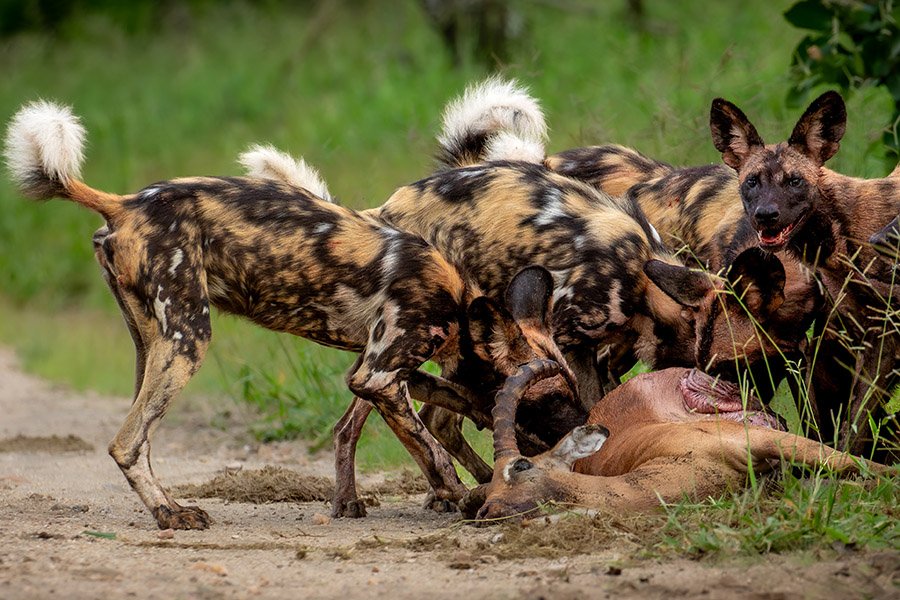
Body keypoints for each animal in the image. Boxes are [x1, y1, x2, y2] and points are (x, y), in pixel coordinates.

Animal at [3, 101, 576, 528]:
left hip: (152, 346)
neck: (457, 299)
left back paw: (165, 508)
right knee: (126, 442)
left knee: (136, 438)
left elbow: (457, 402)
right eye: (554, 401)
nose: (584, 427)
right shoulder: (378, 376)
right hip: (189, 339)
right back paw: (172, 513)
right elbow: (432, 450)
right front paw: (460, 497)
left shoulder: (388, 373)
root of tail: (124, 203)